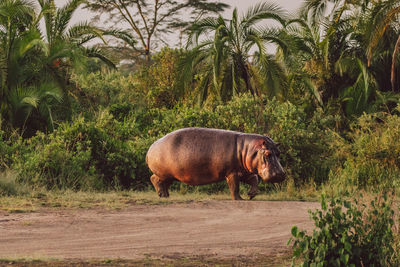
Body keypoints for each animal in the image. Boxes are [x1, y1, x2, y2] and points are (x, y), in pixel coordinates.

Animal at [145, 128, 286, 201]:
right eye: (267, 153)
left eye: (279, 152)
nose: (280, 174)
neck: (247, 149)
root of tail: (150, 148)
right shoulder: (232, 172)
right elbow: (234, 186)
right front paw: (239, 199)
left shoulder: (245, 171)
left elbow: (254, 180)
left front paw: (251, 195)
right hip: (164, 173)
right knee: (154, 179)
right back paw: (162, 195)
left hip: (171, 175)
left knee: (163, 183)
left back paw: (166, 196)